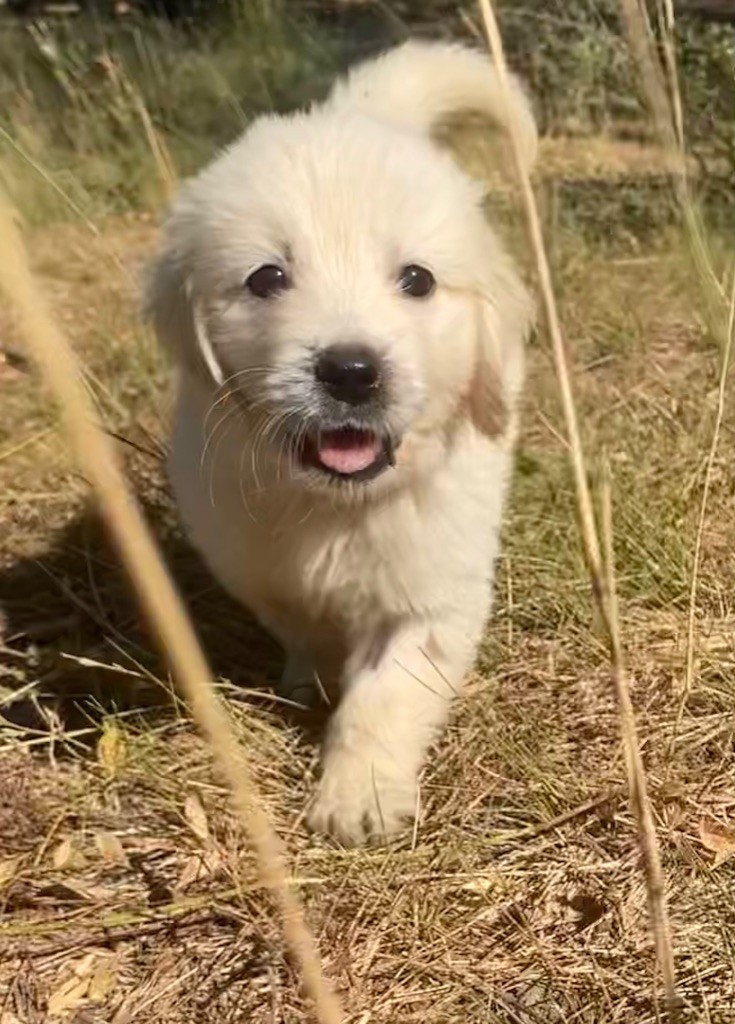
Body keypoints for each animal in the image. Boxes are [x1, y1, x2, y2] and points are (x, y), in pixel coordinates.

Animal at [147, 41, 536, 846]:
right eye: (268, 277)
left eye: (416, 280)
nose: (351, 371)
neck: (337, 505)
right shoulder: (253, 565)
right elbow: (303, 628)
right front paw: (315, 677)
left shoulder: (436, 591)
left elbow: (386, 695)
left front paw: (359, 797)